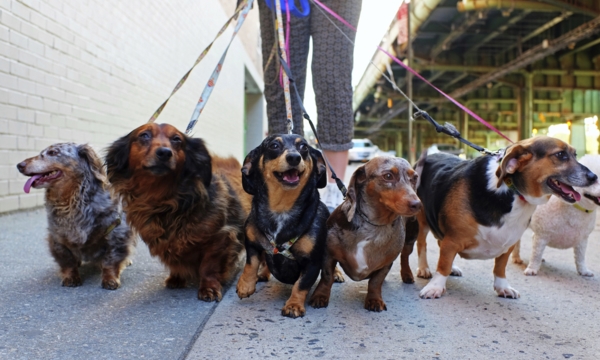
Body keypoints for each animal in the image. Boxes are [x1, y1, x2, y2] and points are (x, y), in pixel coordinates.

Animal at [105, 124, 251, 300]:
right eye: (144, 135)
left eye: (176, 139)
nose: (164, 153)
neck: (163, 202)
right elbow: (175, 262)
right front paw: (177, 277)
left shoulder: (221, 237)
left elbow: (209, 267)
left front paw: (208, 287)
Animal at [310, 158, 422, 312]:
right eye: (388, 176)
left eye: (415, 178)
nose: (417, 205)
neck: (373, 226)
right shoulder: (329, 254)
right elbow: (327, 276)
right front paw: (320, 296)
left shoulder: (387, 263)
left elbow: (376, 282)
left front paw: (374, 299)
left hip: (410, 238)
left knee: (405, 256)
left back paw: (407, 274)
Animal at [412, 135, 596, 298]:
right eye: (560, 155)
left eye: (575, 155)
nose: (594, 177)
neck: (513, 191)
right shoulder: (452, 240)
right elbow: (443, 264)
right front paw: (435, 287)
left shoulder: (508, 245)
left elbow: (500, 268)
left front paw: (503, 288)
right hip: (422, 222)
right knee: (422, 244)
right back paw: (424, 269)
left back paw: (453, 267)